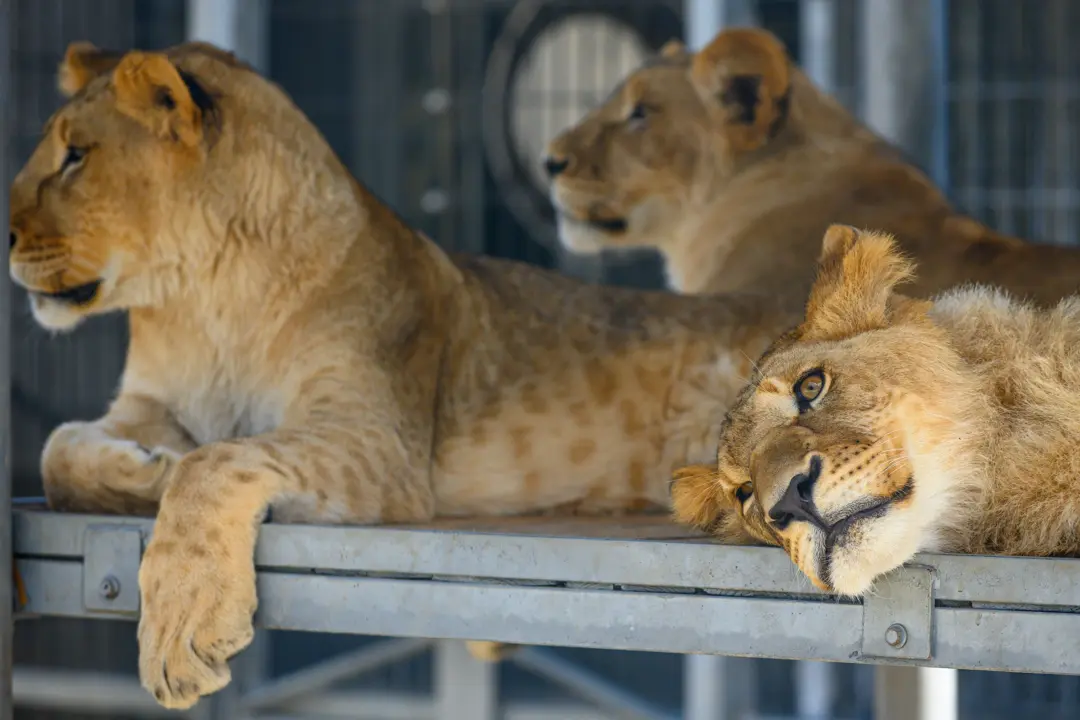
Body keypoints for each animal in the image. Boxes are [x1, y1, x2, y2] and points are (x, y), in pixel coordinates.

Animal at [9, 40, 797, 709]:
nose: (6, 235)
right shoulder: (147, 401)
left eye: (74, 156)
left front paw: (179, 630)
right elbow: (59, 450)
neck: (201, 300)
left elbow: (218, 461)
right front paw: (149, 469)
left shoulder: (379, 441)